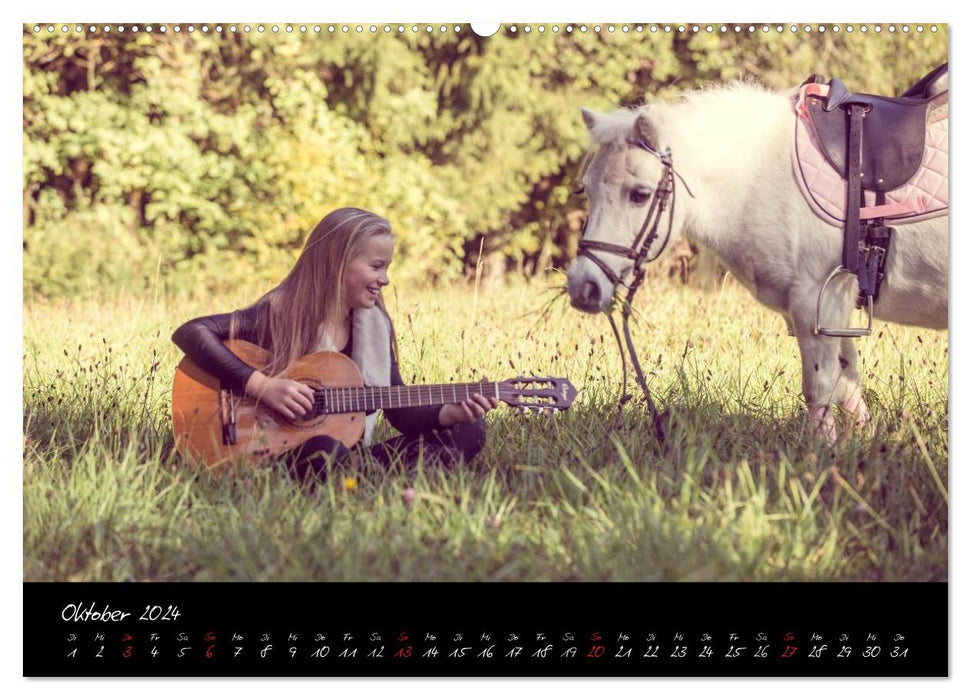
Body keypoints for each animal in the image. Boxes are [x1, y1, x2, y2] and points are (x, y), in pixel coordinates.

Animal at [568, 83, 948, 438]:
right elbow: (848, 384)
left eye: (640, 194)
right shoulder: (833, 313)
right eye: (588, 189)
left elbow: (821, 389)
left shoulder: (817, 301)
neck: (762, 176)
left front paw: (823, 454)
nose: (582, 287)